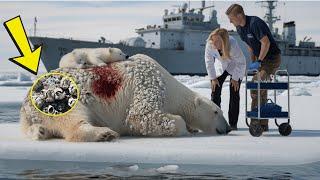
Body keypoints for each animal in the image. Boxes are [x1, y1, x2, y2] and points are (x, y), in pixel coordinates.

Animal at [20, 54, 230, 141]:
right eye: (216, 112)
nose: (228, 128)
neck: (169, 84)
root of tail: (24, 110)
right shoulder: (147, 84)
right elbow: (141, 116)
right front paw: (184, 127)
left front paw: (191, 128)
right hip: (60, 98)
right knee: (72, 118)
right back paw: (104, 133)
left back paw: (41, 131)